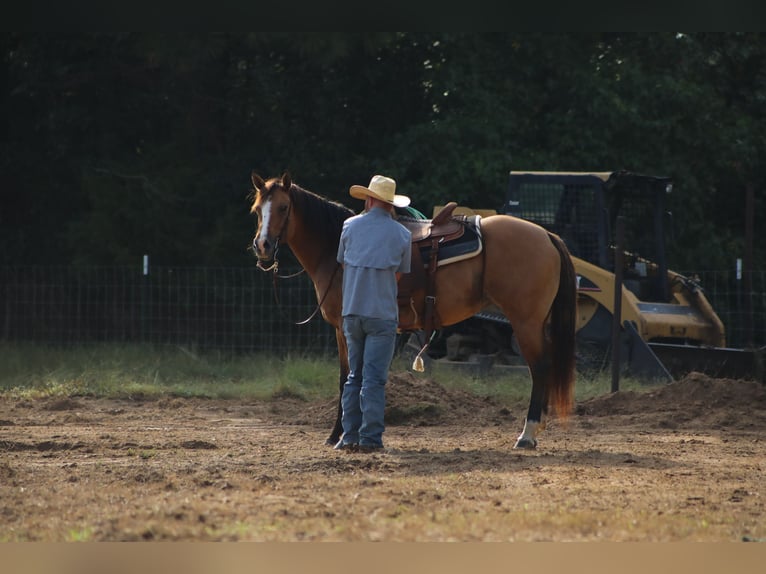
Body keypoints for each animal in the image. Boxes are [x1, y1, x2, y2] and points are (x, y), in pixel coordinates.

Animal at [250, 173, 576, 452]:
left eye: (283, 207)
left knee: (540, 368)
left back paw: (527, 434)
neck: (335, 248)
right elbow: (350, 377)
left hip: (526, 322)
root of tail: (546, 235)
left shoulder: (345, 327)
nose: (262, 246)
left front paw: (339, 435)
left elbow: (347, 377)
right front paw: (339, 434)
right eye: (257, 210)